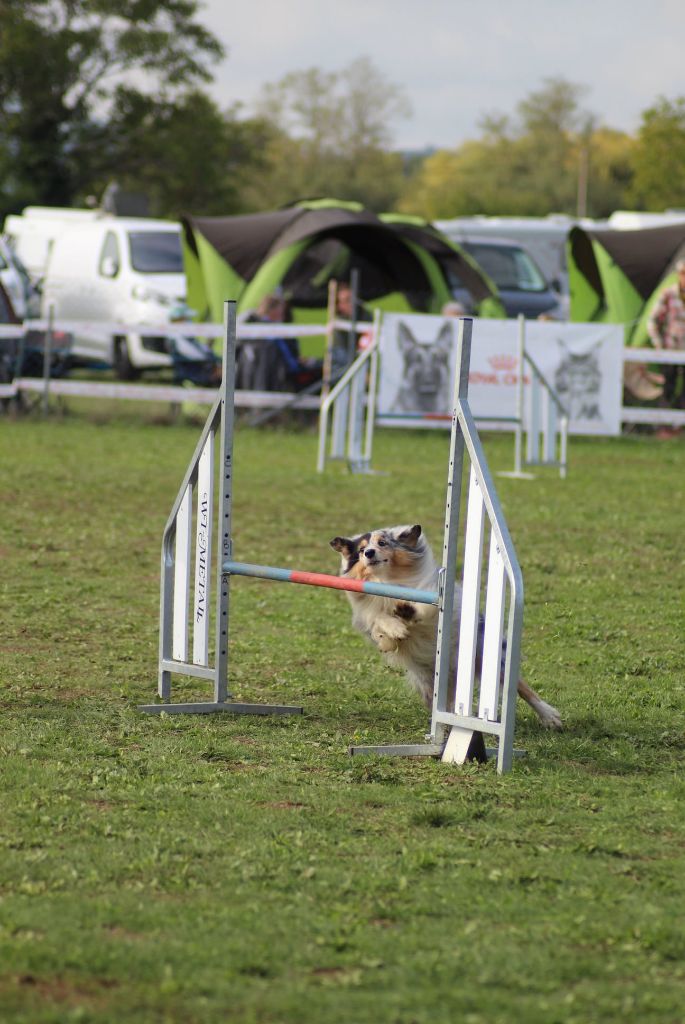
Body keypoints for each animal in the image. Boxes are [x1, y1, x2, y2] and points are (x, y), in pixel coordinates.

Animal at [329, 524, 561, 733]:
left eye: (382, 543)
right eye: (361, 550)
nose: (369, 553)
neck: (387, 580)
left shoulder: (432, 599)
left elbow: (423, 609)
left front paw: (407, 612)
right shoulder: (370, 614)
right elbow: (380, 620)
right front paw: (395, 628)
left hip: (486, 657)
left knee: (520, 687)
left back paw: (550, 716)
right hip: (426, 680)